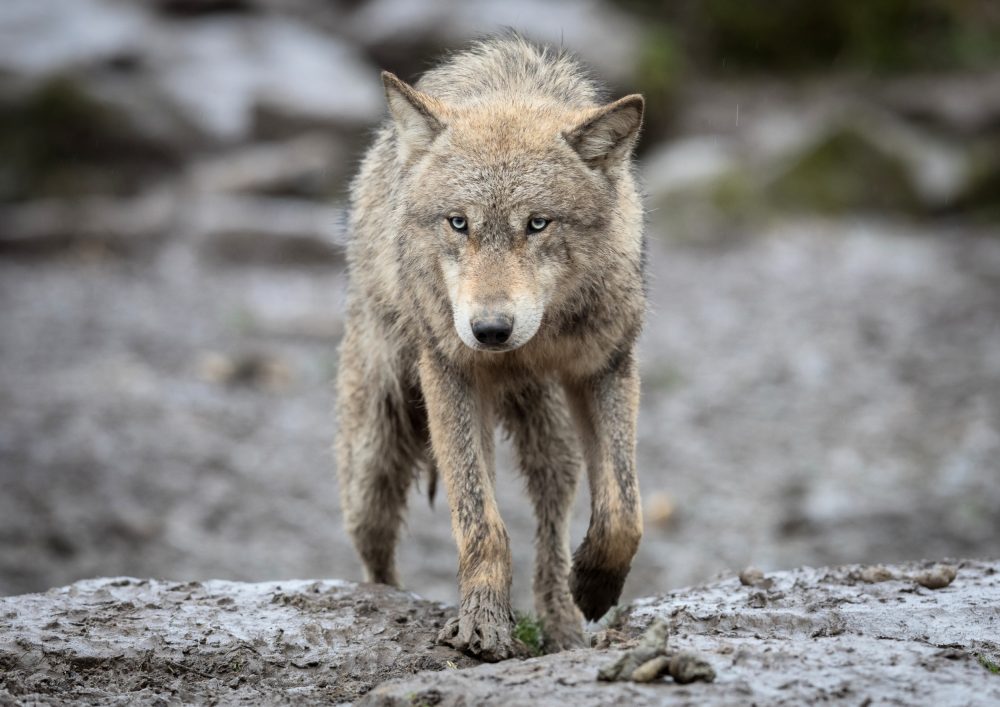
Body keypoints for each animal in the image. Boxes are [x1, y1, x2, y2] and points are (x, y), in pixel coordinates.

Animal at [335, 35, 645, 661]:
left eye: (537, 224)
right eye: (459, 223)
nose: (491, 331)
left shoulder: (607, 367)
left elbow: (623, 509)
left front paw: (595, 584)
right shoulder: (451, 374)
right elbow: (481, 522)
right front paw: (482, 624)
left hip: (550, 434)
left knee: (553, 517)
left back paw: (562, 623)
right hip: (376, 453)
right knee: (374, 550)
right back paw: (386, 599)